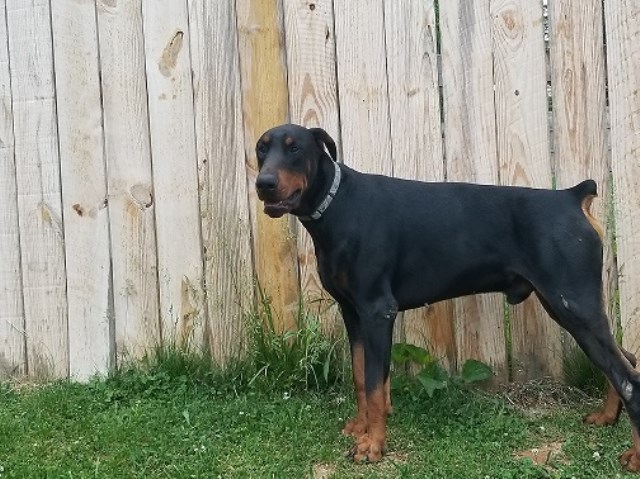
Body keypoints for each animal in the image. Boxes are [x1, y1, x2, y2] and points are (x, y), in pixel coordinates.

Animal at [255, 124, 640, 472]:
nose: (264, 183)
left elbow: (376, 385)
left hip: (572, 302)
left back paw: (634, 455)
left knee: (629, 378)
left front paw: (373, 446)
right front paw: (361, 428)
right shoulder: (352, 312)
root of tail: (572, 196)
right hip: (568, 304)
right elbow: (362, 377)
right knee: (626, 359)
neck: (337, 205)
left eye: (294, 148)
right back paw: (607, 416)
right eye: (261, 149)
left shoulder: (377, 310)